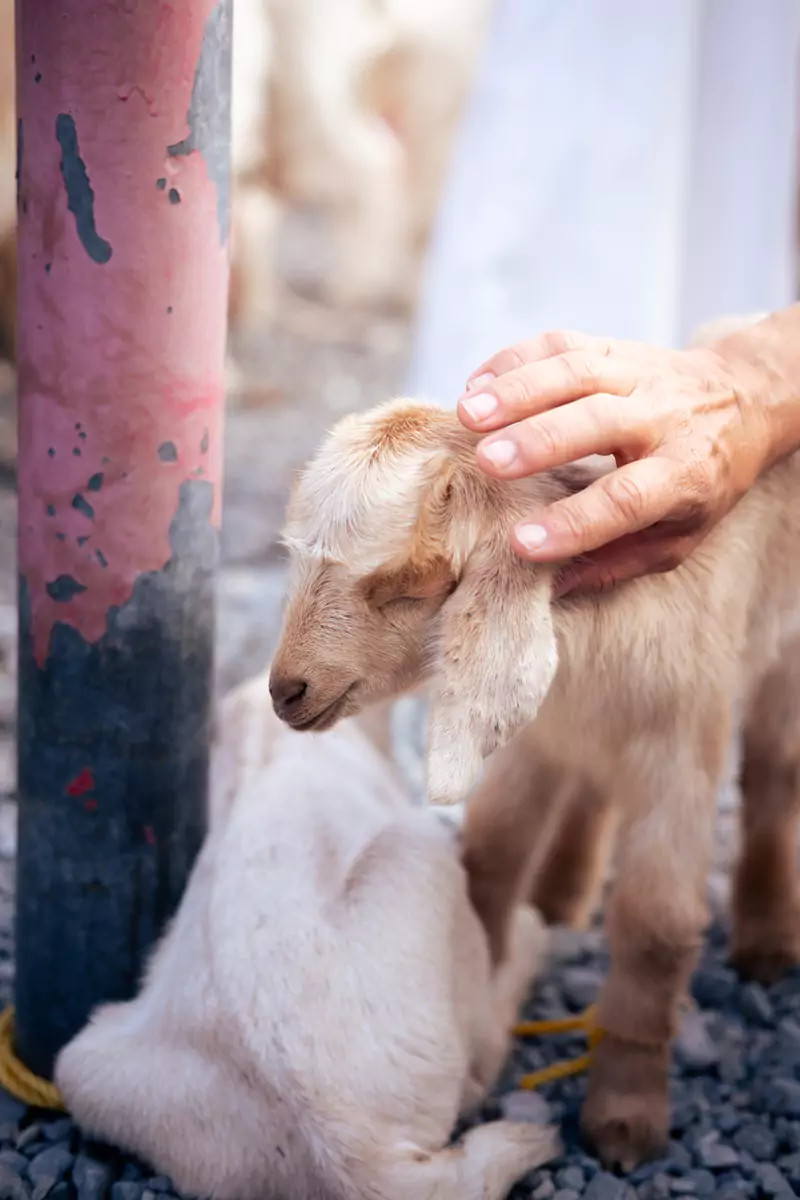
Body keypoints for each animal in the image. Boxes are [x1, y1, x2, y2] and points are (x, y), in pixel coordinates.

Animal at [269, 314, 800, 1170]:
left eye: (405, 588)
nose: (286, 691)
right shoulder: (535, 738)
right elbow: (491, 854)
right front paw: (478, 996)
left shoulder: (682, 740)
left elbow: (657, 922)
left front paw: (624, 1118)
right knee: (590, 787)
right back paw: (561, 894)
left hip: (780, 659)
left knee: (775, 777)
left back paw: (766, 937)